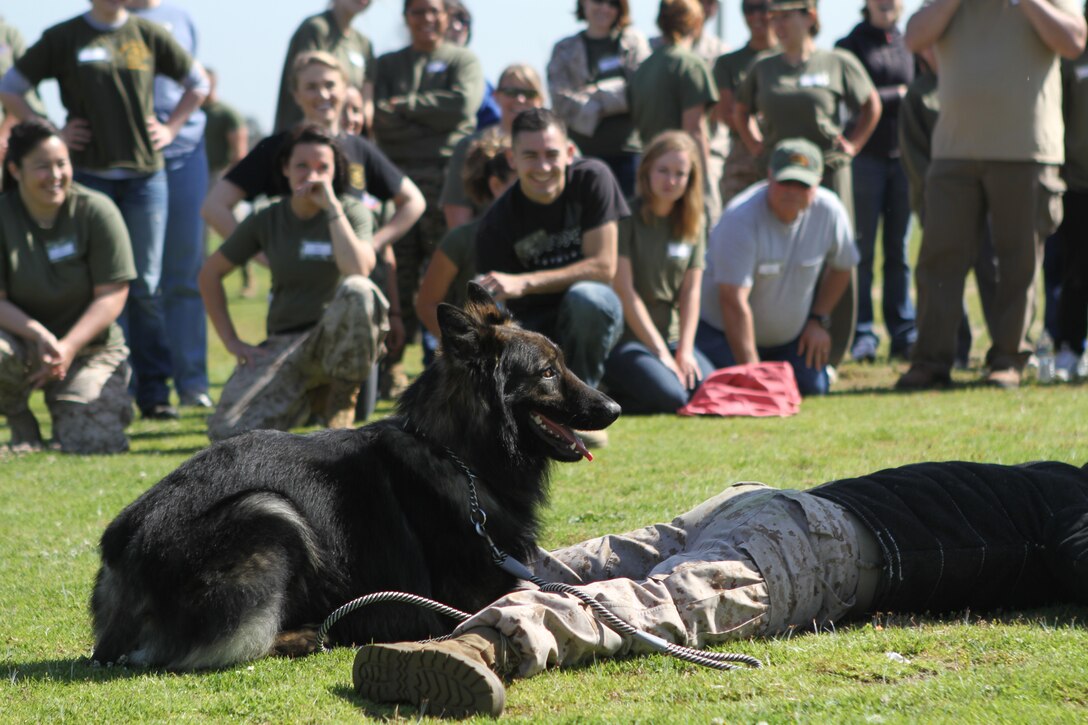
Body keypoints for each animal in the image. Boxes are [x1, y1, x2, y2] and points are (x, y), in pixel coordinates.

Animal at [91, 285, 622, 670]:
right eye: (548, 372)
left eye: (561, 364)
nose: (615, 408)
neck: (456, 456)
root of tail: (123, 545)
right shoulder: (474, 592)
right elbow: (543, 591)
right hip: (269, 510)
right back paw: (310, 635)